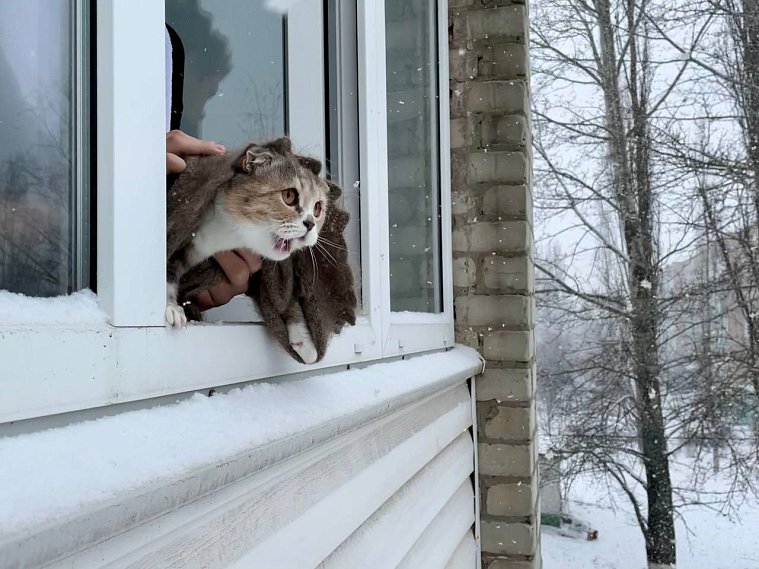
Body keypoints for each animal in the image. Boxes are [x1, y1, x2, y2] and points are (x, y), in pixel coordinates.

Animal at [166, 135, 356, 362]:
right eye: (289, 195)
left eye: (318, 208)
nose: (310, 224)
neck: (224, 235)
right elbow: (167, 270)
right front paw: (171, 307)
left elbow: (282, 297)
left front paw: (305, 341)